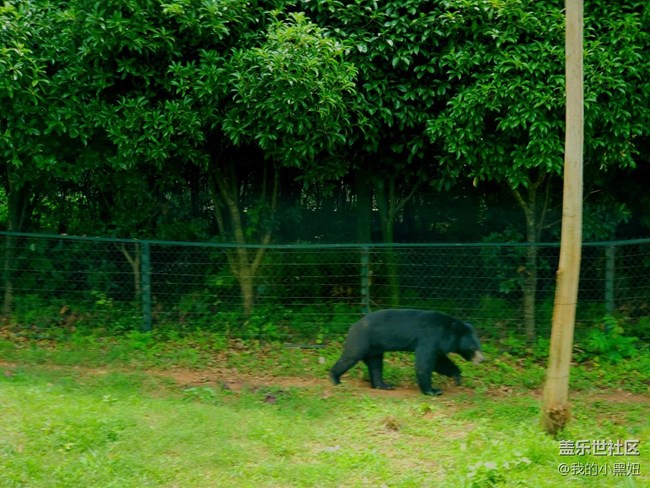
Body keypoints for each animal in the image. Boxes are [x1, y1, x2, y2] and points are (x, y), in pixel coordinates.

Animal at [330, 310, 480, 394]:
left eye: (479, 346)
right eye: (474, 347)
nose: (482, 359)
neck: (447, 332)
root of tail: (353, 325)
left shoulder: (437, 345)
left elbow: (440, 362)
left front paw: (457, 377)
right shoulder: (429, 338)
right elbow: (424, 364)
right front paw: (433, 391)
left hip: (374, 349)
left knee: (376, 366)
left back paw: (384, 385)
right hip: (361, 340)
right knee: (350, 357)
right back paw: (336, 379)